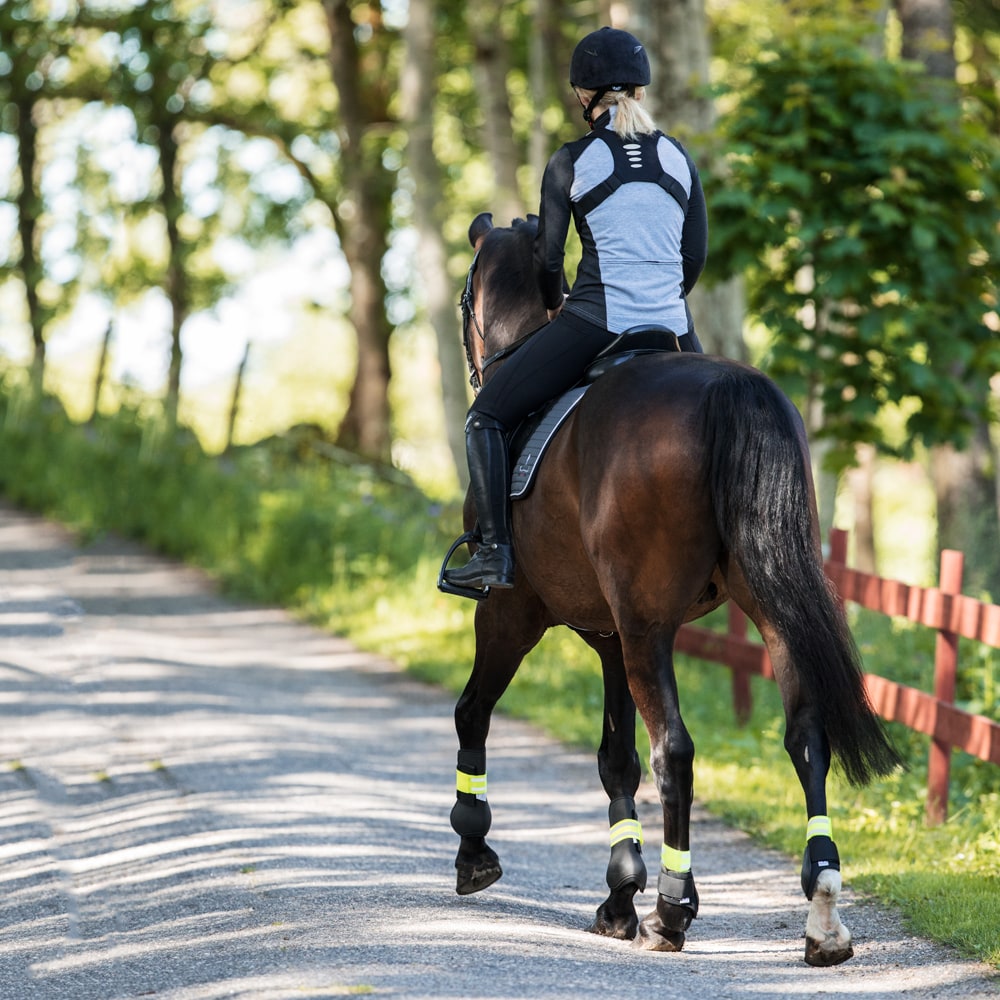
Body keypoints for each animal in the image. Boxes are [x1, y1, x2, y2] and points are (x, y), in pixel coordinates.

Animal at [444, 213, 900, 968]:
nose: (477, 370)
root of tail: (729, 389)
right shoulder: (609, 637)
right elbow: (615, 760)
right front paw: (616, 897)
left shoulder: (513, 613)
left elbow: (473, 713)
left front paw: (476, 847)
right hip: (762, 608)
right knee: (806, 735)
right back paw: (822, 912)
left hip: (641, 626)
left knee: (677, 751)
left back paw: (673, 909)